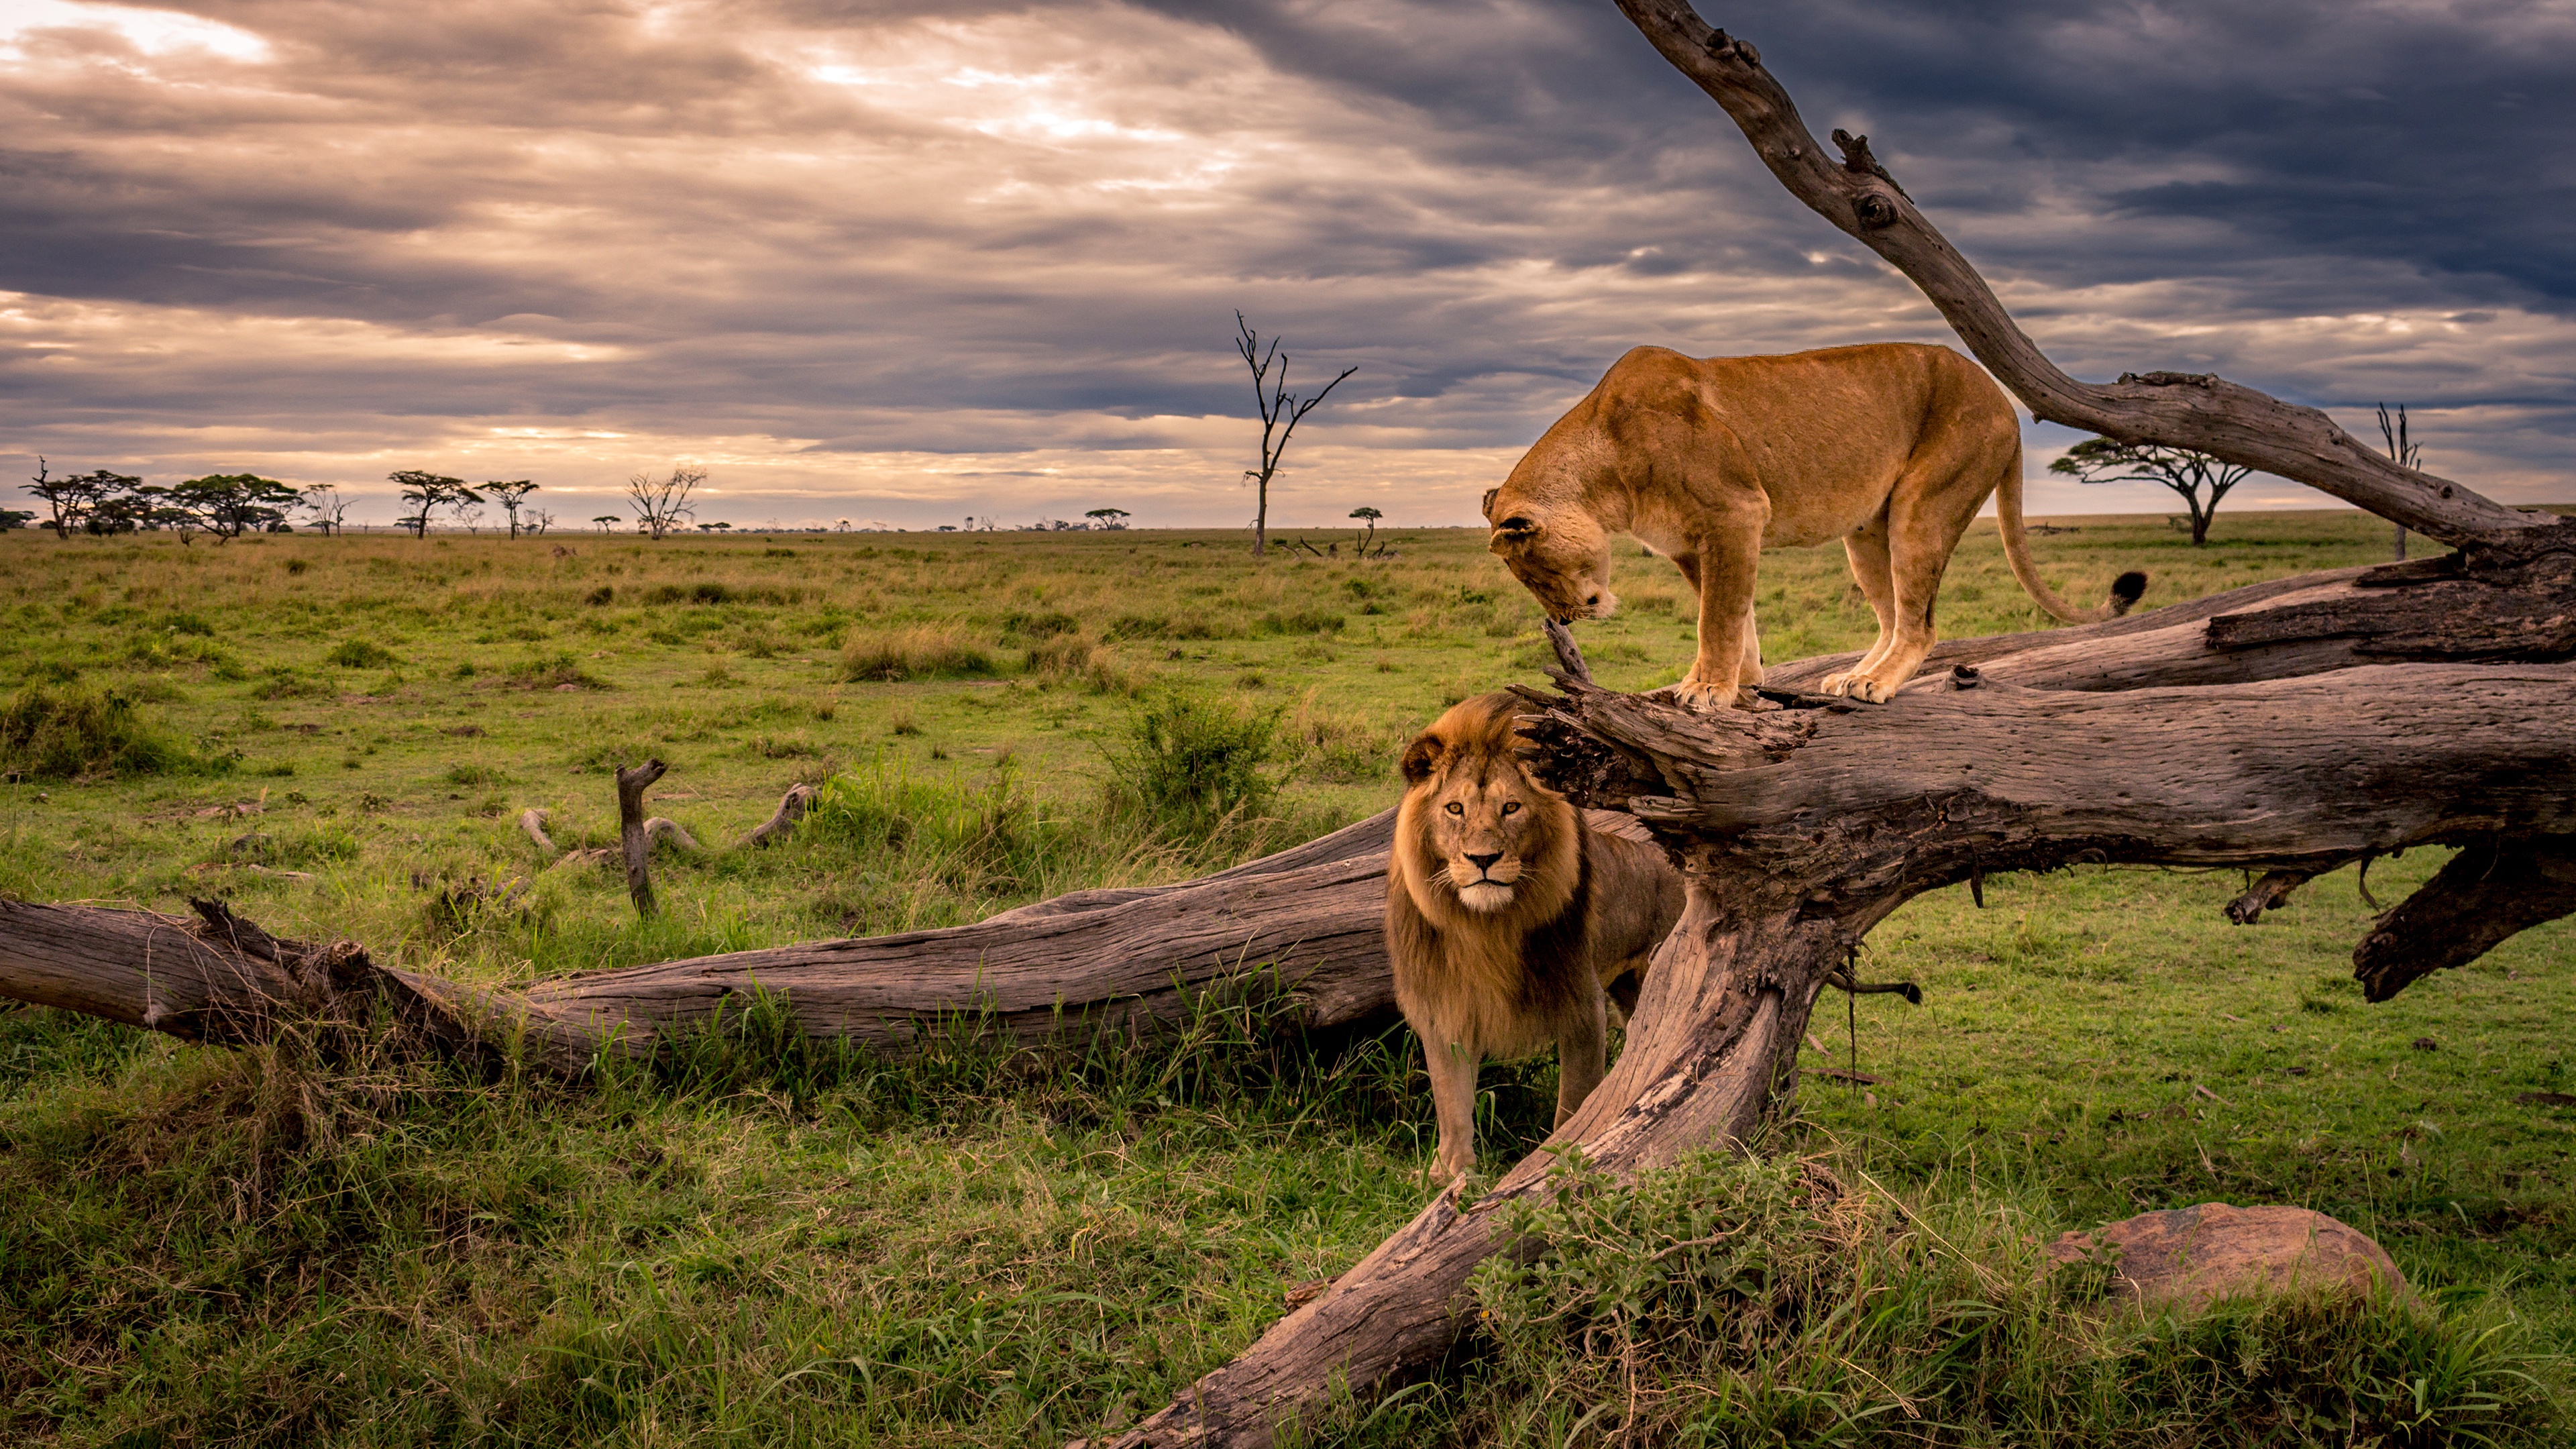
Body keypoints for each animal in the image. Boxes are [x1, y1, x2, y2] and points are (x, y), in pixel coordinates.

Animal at [1391, 691, 1690, 1185]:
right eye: (1455, 809)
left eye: (1511, 808)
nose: (1483, 859)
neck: (1486, 928)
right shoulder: (1447, 1007)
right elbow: (1452, 1103)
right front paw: (1449, 1176)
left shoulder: (1582, 1007)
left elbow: (1572, 1105)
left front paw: (1558, 1161)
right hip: (1627, 987)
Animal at [1483, 340, 2143, 706]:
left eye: (1537, 574)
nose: (1568, 617)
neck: (1603, 471)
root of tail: (2006, 400)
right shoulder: (1693, 545)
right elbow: (1732, 615)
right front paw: (1738, 681)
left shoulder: (1736, 512)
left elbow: (1716, 617)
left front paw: (1710, 689)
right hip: (1867, 532)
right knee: (1892, 616)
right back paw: (1854, 676)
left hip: (1925, 504)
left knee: (1921, 625)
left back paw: (1877, 685)